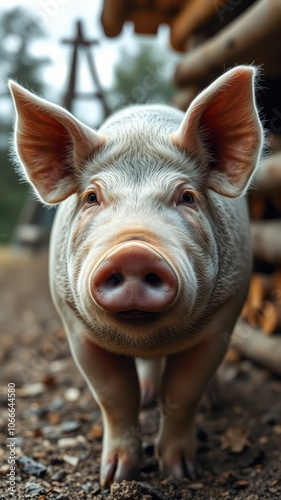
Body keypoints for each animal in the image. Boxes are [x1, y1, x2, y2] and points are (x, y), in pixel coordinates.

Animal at [9, 64, 262, 486]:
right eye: (92, 197)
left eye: (187, 197)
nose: (134, 252)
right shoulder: (75, 326)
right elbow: (115, 396)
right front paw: (113, 479)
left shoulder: (224, 316)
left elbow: (183, 392)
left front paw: (180, 473)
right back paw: (146, 394)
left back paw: (213, 402)